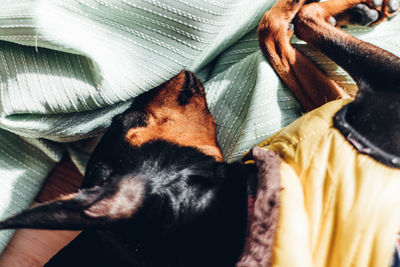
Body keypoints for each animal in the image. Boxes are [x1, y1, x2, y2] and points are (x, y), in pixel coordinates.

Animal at [0, 0, 400, 266]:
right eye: (130, 123)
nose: (141, 92)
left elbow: (274, 38)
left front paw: (358, 10)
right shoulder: (376, 94)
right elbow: (287, 21)